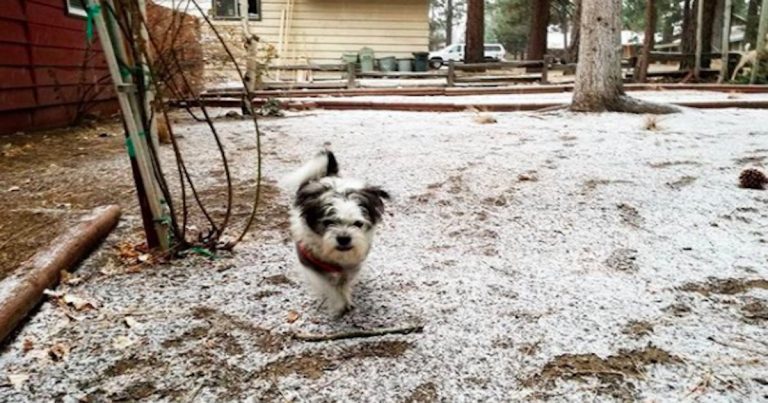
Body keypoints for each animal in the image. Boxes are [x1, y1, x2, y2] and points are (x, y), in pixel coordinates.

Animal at [284, 150, 390, 318]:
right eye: (328, 222)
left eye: (358, 223)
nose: (344, 238)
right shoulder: (309, 263)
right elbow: (327, 286)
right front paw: (339, 303)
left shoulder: (352, 265)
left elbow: (343, 283)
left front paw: (345, 298)